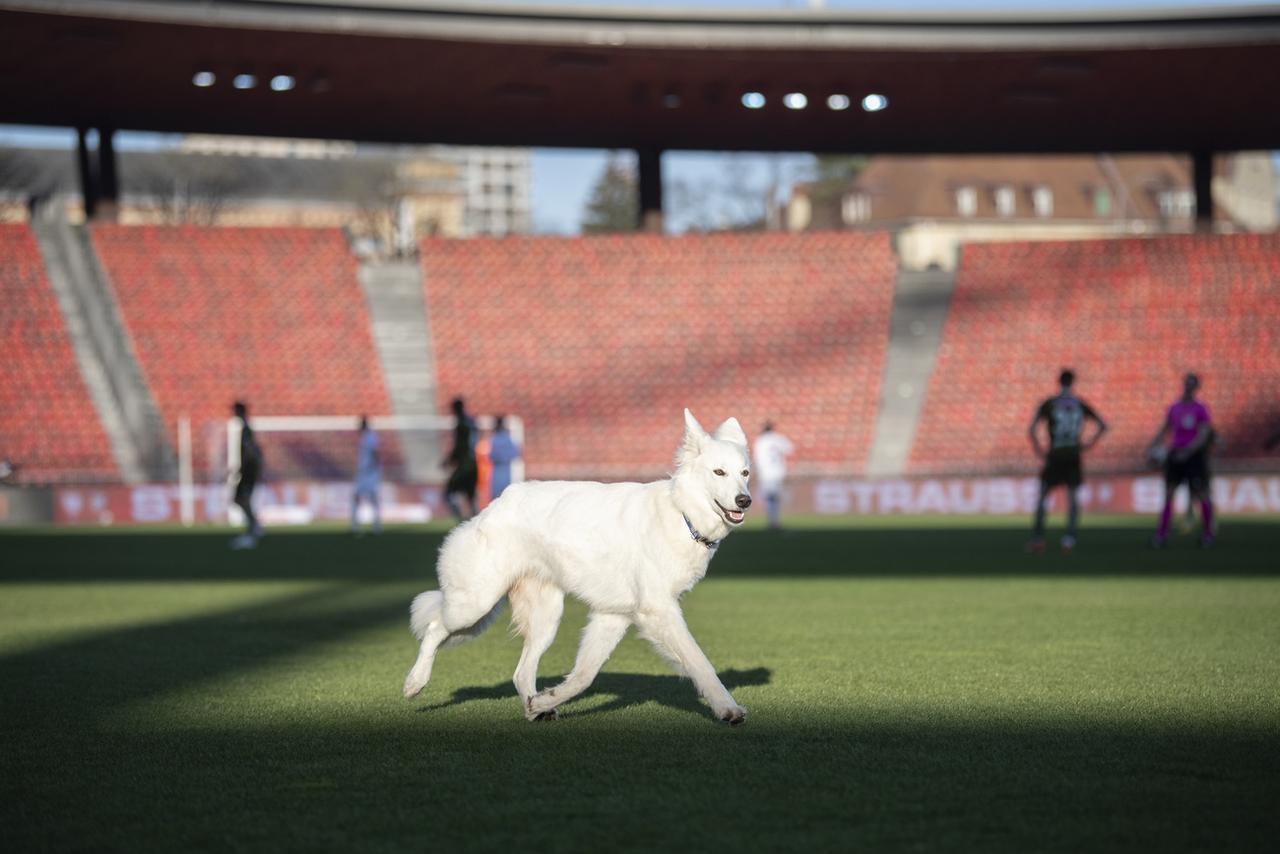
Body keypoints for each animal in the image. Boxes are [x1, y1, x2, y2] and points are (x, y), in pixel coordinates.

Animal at [401, 409, 747, 727]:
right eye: (718, 472)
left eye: (744, 472)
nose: (745, 500)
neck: (681, 513)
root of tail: (495, 505)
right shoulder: (659, 611)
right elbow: (699, 662)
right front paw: (727, 708)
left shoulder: (612, 616)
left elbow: (583, 675)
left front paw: (546, 700)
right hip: (474, 605)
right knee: (434, 628)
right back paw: (415, 681)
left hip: (544, 619)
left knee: (521, 672)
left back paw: (536, 709)